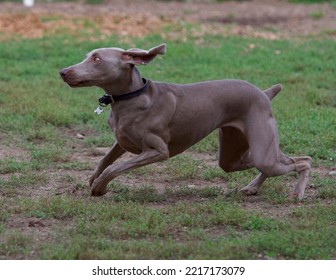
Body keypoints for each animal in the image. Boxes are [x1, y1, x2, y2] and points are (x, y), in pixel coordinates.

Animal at [59, 43, 312, 199]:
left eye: (97, 58)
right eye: (86, 56)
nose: (63, 71)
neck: (131, 97)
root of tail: (265, 93)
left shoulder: (158, 151)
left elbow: (115, 167)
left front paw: (100, 187)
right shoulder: (121, 142)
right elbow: (105, 160)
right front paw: (94, 179)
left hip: (261, 146)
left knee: (303, 161)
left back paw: (296, 194)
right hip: (235, 153)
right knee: (283, 160)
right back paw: (251, 188)